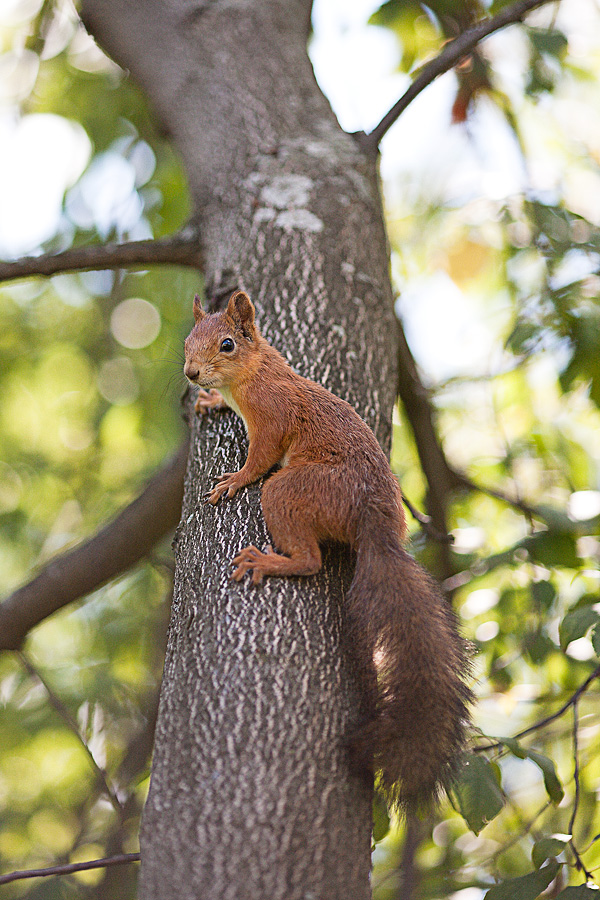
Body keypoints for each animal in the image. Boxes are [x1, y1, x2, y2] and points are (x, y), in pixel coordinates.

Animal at [183, 292, 474, 812]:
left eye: (227, 344)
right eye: (187, 340)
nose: (192, 374)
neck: (253, 374)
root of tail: (376, 527)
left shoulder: (273, 418)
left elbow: (260, 457)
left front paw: (235, 479)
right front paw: (211, 401)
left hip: (295, 489)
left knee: (309, 558)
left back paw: (267, 561)